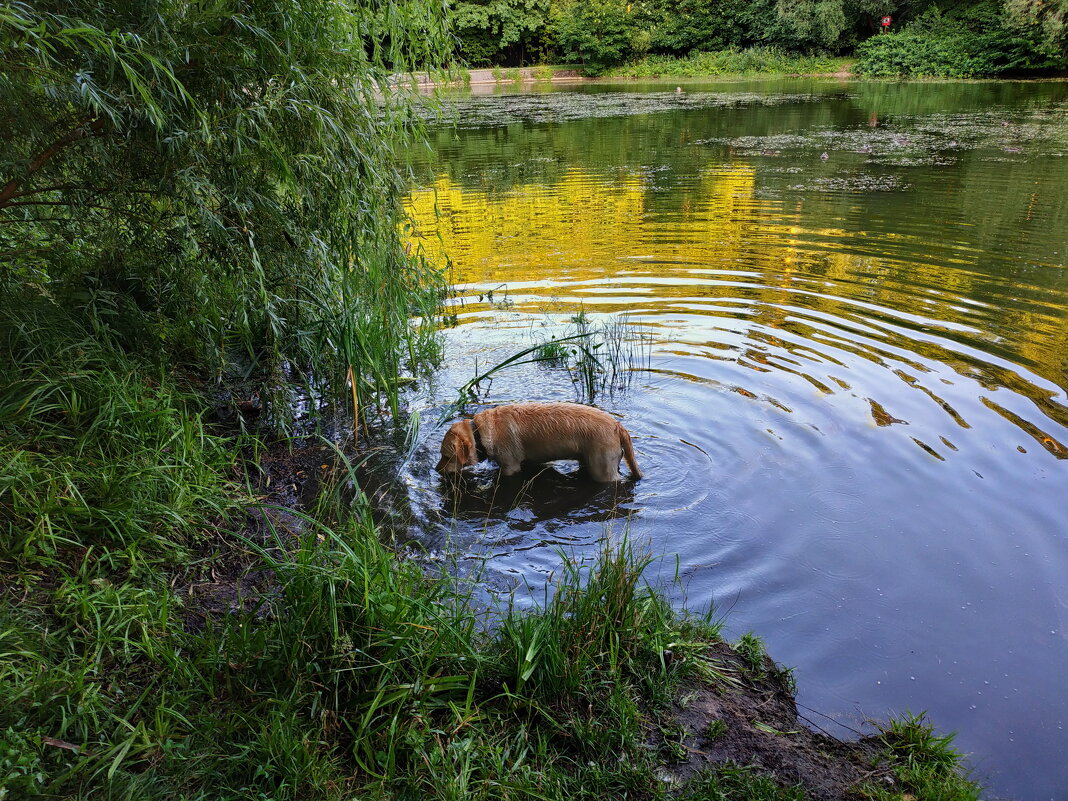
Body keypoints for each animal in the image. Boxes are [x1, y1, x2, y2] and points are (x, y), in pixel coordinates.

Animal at [435, 401, 640, 482]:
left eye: (446, 456)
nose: (436, 471)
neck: (478, 431)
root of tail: (618, 425)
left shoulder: (510, 467)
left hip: (602, 470)